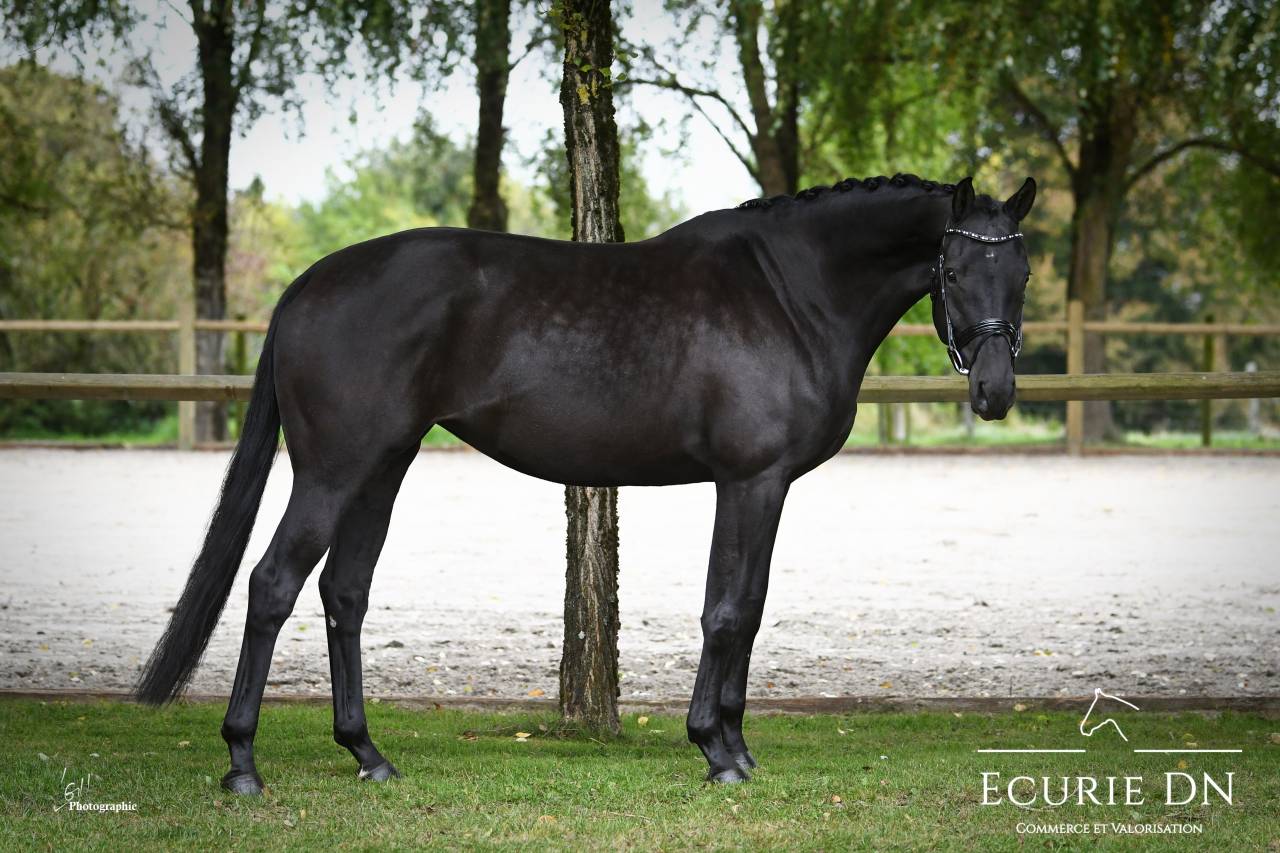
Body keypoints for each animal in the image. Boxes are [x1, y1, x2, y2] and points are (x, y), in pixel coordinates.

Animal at [135, 172, 1036, 792]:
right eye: (955, 271)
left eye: (1022, 274)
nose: (995, 392)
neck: (789, 292)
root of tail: (306, 286)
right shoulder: (750, 481)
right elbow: (727, 610)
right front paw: (716, 749)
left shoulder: (760, 485)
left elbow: (746, 608)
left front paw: (734, 744)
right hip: (333, 470)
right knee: (272, 584)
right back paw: (243, 761)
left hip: (381, 468)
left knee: (344, 592)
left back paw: (368, 753)